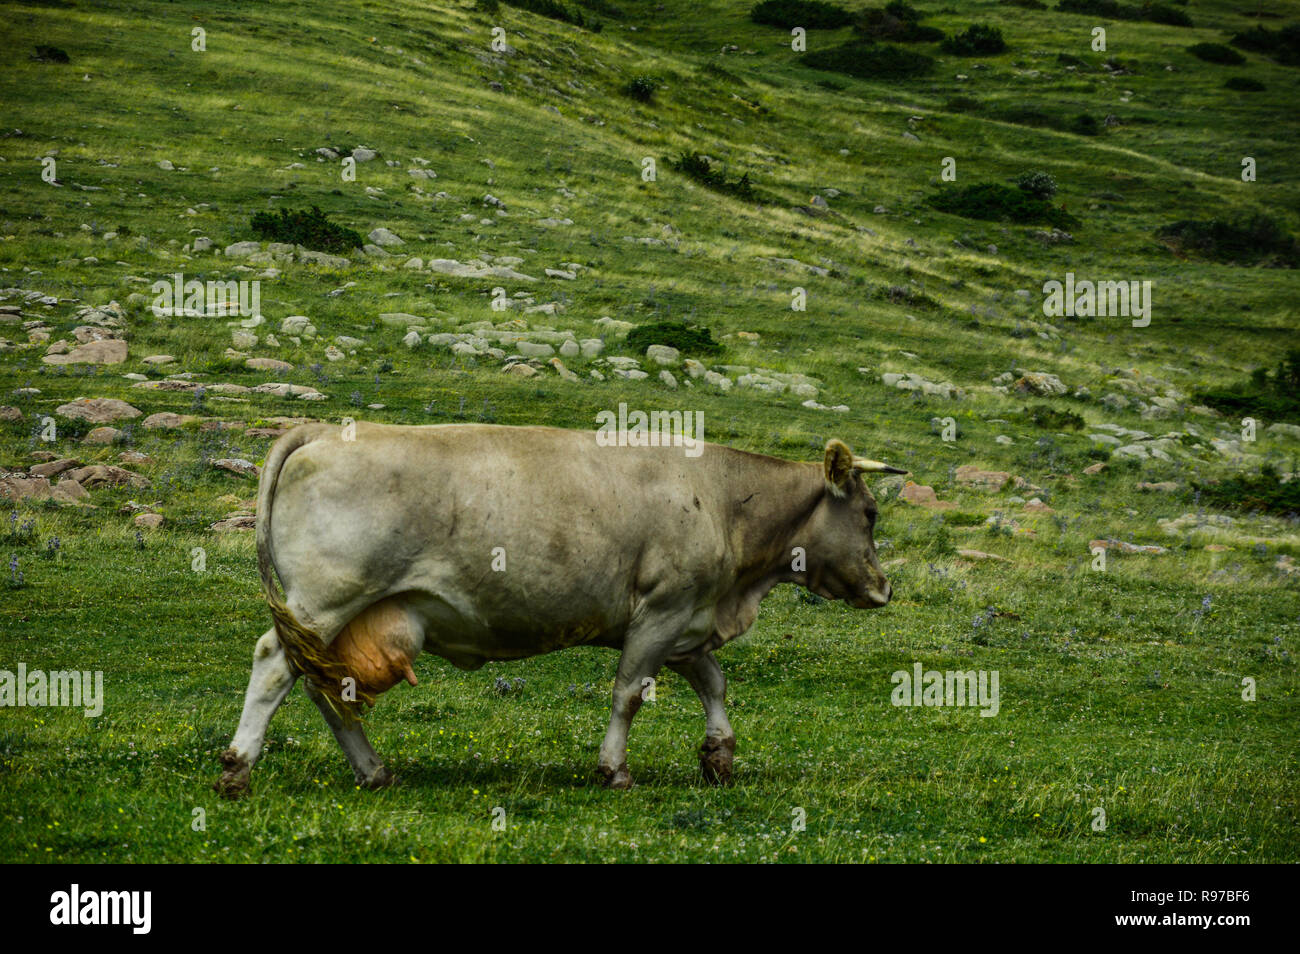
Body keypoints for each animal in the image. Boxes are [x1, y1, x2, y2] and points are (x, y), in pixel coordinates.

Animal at [215, 422, 905, 797]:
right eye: (870, 513)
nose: (884, 588)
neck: (723, 498)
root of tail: (325, 430)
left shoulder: (688, 620)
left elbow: (714, 683)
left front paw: (719, 755)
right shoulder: (662, 611)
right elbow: (629, 693)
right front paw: (615, 770)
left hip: (334, 618)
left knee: (325, 687)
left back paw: (374, 771)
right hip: (326, 598)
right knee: (274, 665)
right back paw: (237, 769)